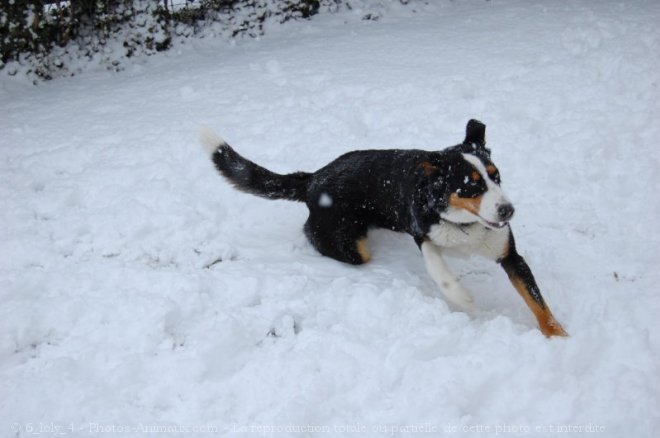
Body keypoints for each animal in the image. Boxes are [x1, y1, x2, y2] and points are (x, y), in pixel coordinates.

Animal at [201, 120, 568, 338]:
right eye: (471, 185)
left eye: (496, 176)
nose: (508, 210)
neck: (466, 226)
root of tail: (313, 178)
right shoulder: (422, 234)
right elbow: (440, 270)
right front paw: (461, 296)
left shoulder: (510, 255)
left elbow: (538, 303)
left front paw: (558, 337)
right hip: (350, 244)